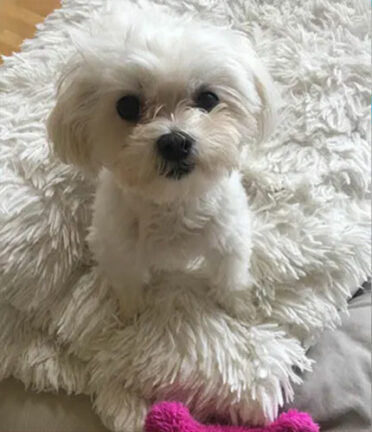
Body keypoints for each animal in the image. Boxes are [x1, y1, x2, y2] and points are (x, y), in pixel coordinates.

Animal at [48, 3, 278, 320]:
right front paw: (131, 312)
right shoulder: (116, 247)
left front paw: (237, 304)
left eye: (208, 98)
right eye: (127, 106)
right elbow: (127, 280)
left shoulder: (229, 238)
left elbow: (229, 274)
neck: (174, 203)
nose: (175, 142)